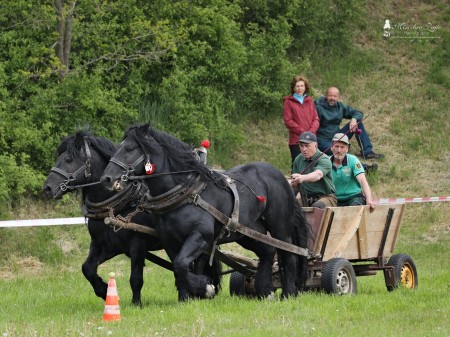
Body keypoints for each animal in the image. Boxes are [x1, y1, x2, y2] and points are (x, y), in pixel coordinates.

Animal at [43, 131, 222, 304]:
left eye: (68, 159)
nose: (47, 188)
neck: (117, 205)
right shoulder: (105, 245)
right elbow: (87, 268)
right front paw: (103, 290)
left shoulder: (137, 244)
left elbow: (136, 278)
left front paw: (136, 303)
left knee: (197, 262)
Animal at [100, 123, 310, 300]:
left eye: (129, 149)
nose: (107, 179)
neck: (185, 194)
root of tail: (282, 177)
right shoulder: (169, 241)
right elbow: (179, 268)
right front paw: (186, 298)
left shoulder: (200, 236)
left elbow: (182, 264)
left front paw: (205, 288)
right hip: (248, 232)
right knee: (267, 251)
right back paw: (265, 291)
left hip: (280, 227)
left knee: (288, 255)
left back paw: (288, 293)